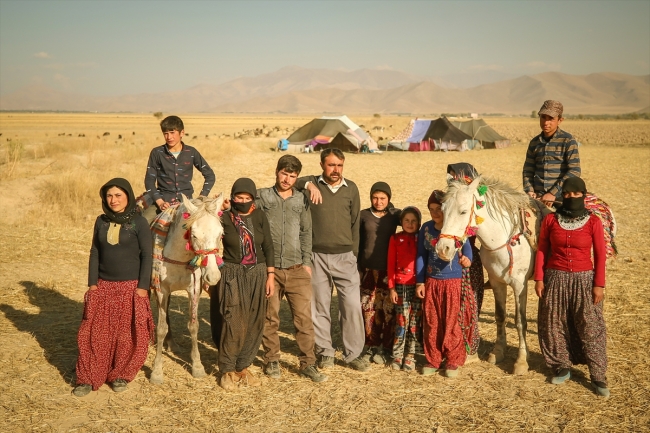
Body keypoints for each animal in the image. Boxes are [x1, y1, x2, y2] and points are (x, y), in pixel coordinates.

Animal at [149, 194, 224, 384]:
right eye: (194, 235)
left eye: (221, 234)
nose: (213, 276)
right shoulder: (161, 290)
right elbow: (160, 329)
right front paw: (157, 371)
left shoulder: (194, 289)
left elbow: (193, 325)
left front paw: (197, 366)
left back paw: (172, 344)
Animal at [432, 176, 536, 374]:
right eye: (443, 210)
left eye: (463, 211)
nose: (443, 249)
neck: (505, 239)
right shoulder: (496, 282)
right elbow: (500, 316)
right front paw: (498, 352)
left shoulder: (520, 285)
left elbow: (520, 321)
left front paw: (521, 361)